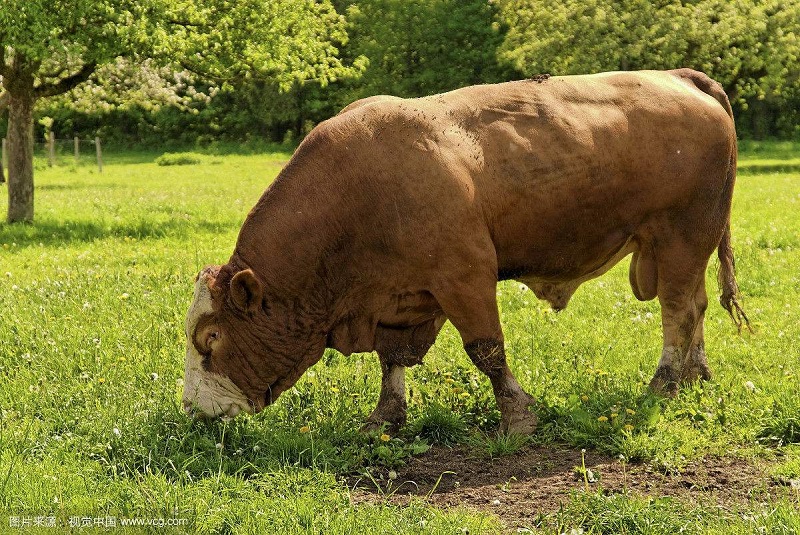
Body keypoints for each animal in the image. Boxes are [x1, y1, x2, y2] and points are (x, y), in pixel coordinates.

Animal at [182, 69, 749, 435]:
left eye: (211, 338)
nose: (194, 411)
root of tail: (682, 77)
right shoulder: (400, 296)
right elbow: (393, 359)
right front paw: (384, 418)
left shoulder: (465, 277)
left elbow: (487, 351)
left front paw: (518, 417)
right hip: (684, 246)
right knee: (696, 305)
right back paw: (696, 376)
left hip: (681, 236)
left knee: (677, 312)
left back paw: (664, 383)